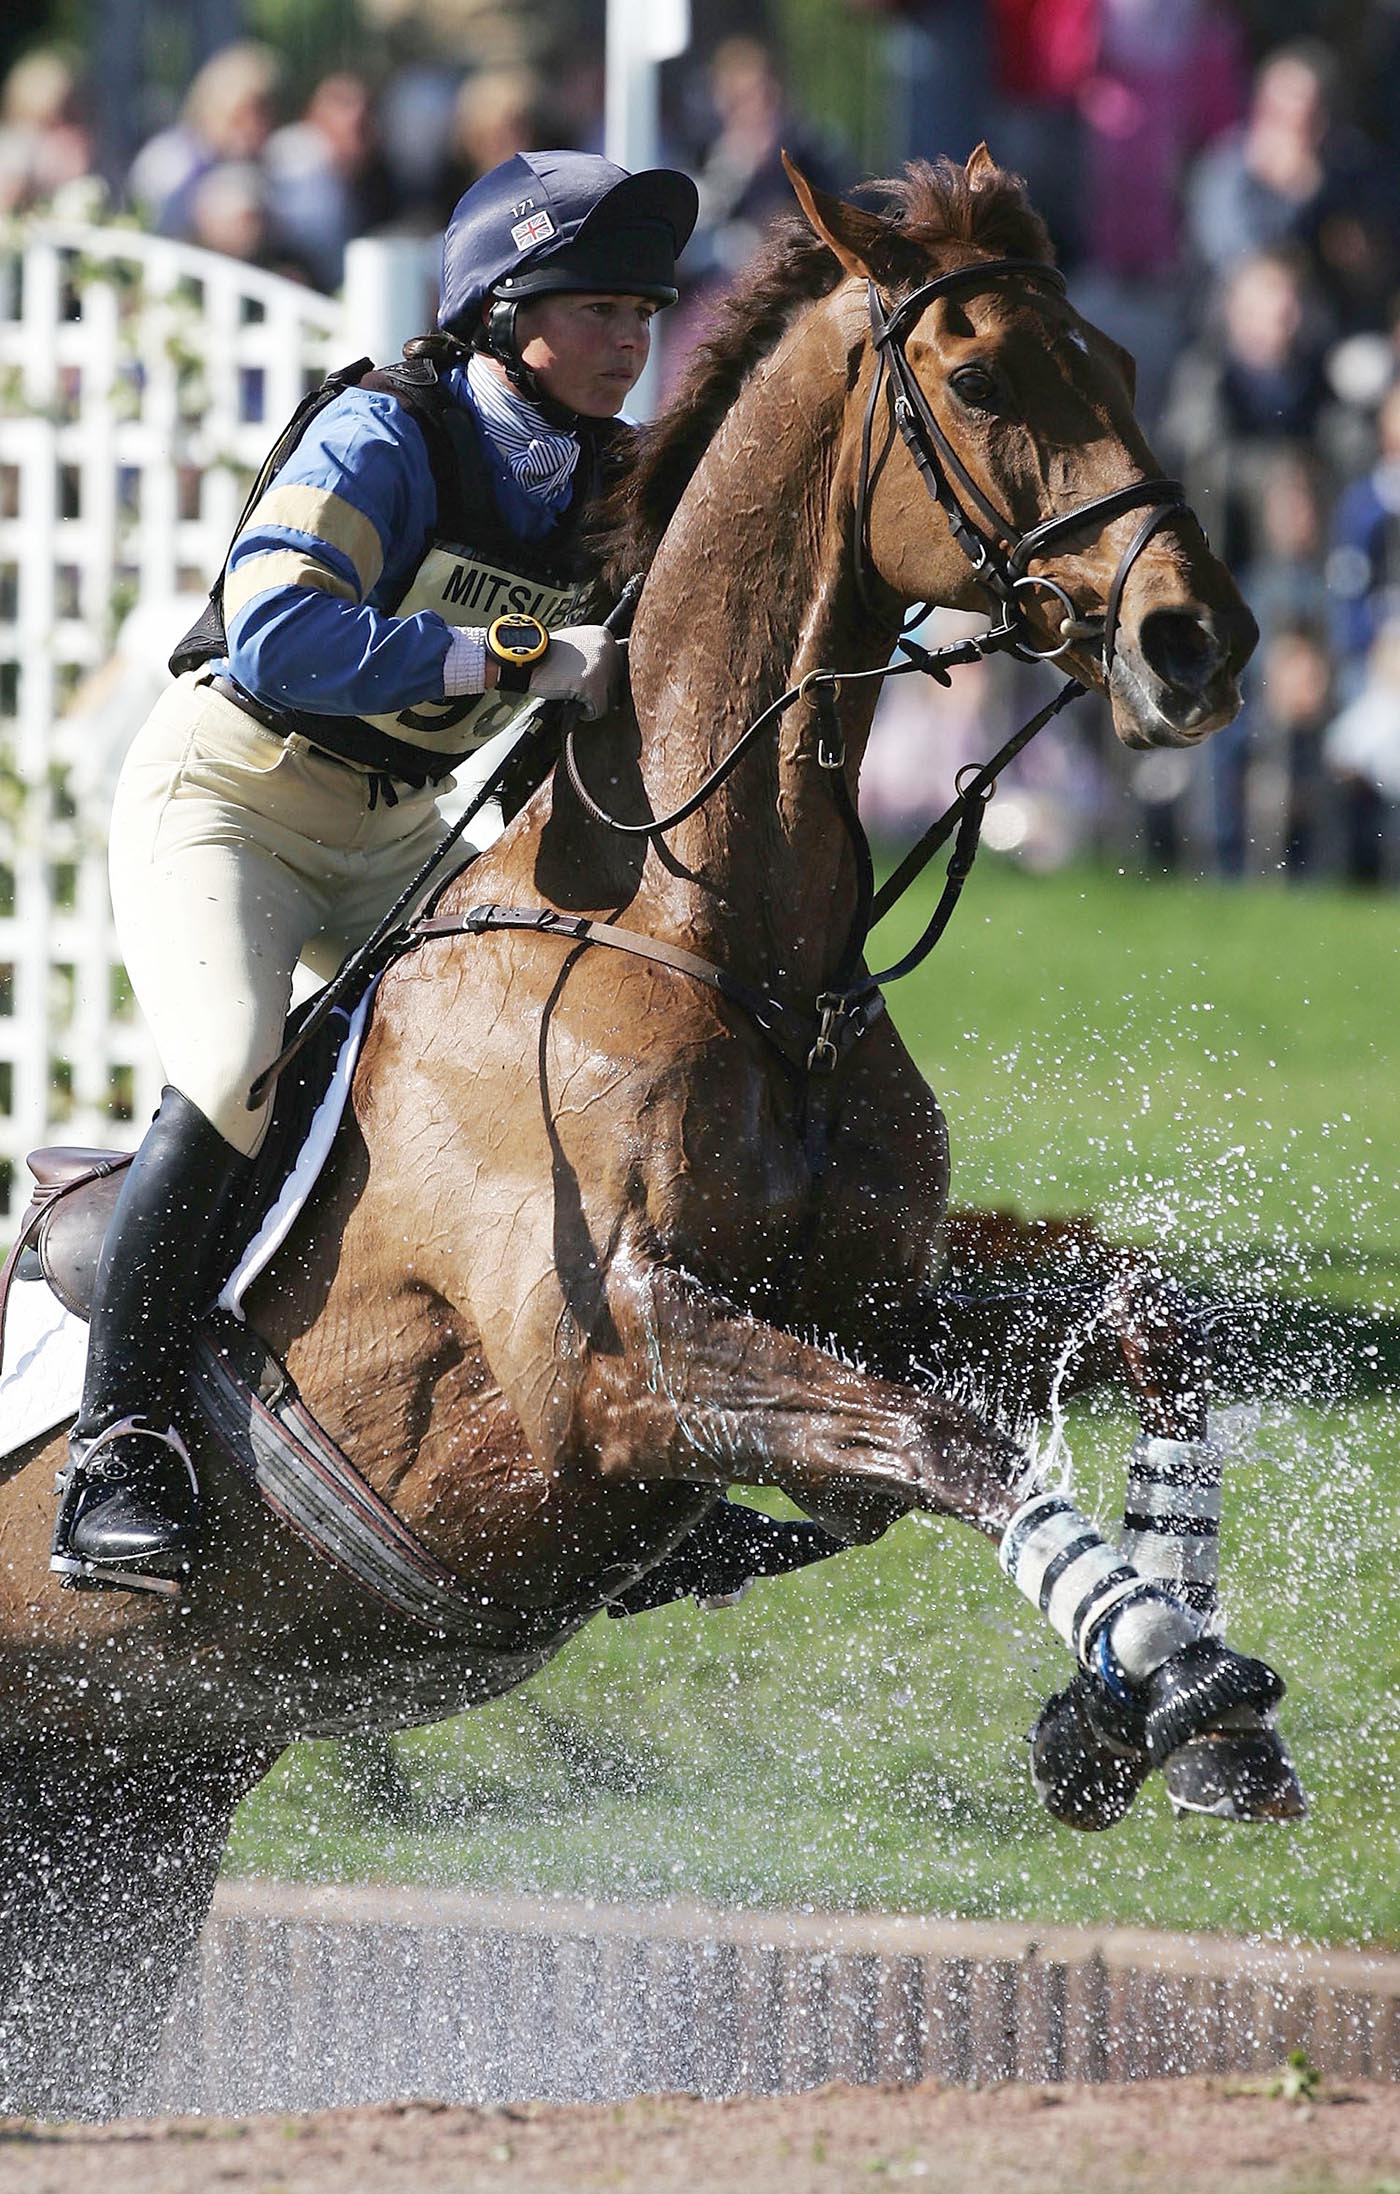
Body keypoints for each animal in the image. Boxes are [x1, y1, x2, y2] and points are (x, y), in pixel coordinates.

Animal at [0, 154, 1272, 2106]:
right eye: (984, 377)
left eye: (1125, 361)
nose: (1195, 641)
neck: (716, 941)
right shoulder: (607, 1359)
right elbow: (955, 1442)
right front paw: (1161, 1681)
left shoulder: (859, 1294)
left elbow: (1141, 1321)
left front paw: (1164, 1714)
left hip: (119, 1814)